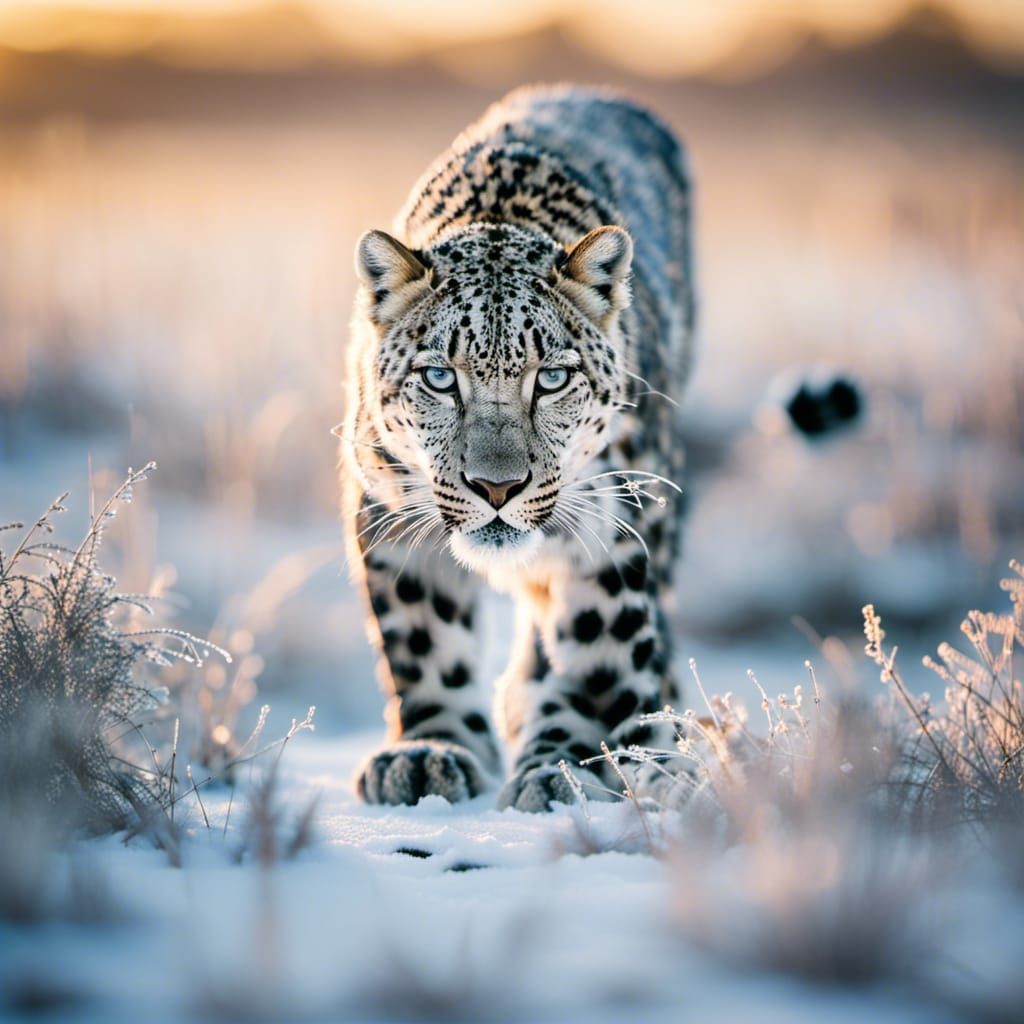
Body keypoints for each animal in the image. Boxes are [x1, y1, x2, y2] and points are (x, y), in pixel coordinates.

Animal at [340, 84, 694, 812]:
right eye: (439, 378)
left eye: (552, 378)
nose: (497, 487)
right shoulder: (387, 509)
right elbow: (423, 637)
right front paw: (431, 751)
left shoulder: (611, 530)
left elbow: (600, 651)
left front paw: (572, 767)